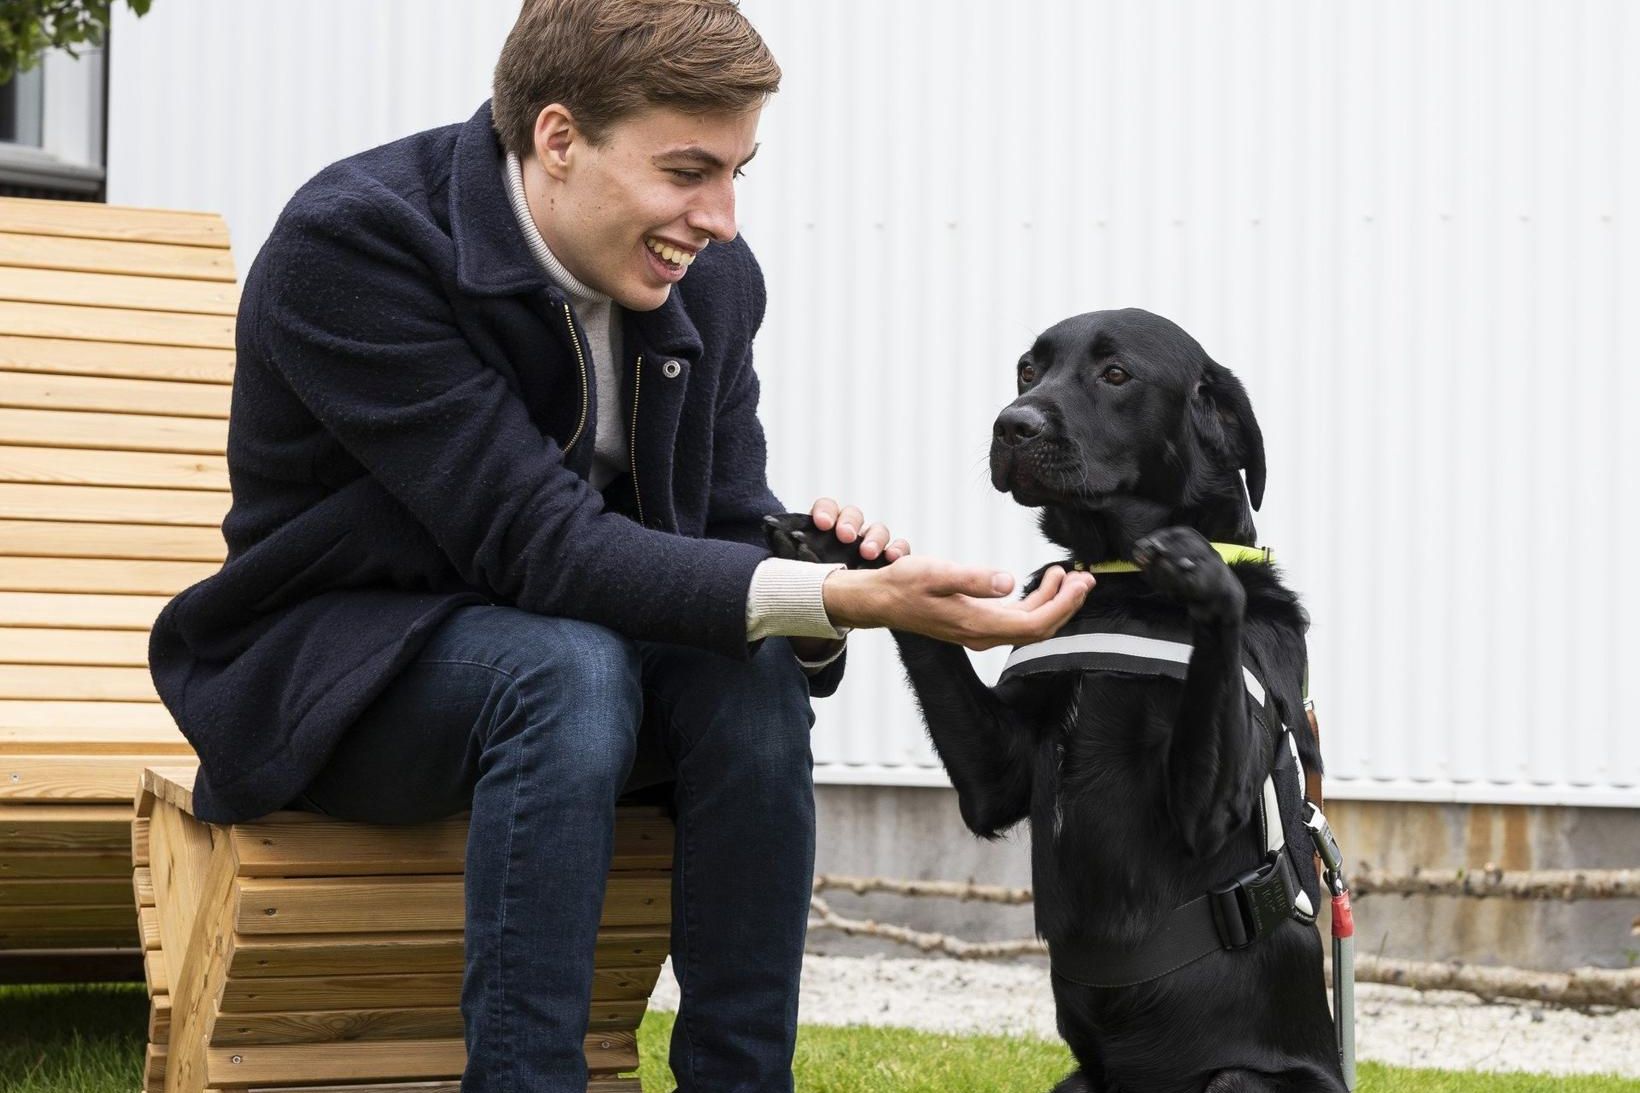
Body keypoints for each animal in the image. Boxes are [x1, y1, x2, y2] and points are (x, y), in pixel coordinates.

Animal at [767, 308, 1344, 1089]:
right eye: (1026, 371)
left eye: (1116, 373)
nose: (1012, 426)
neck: (1121, 583)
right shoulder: (996, 780)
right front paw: (843, 548)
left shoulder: (1212, 807)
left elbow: (1214, 639)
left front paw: (1202, 571)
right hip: (1075, 1080)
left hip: (1238, 1078)